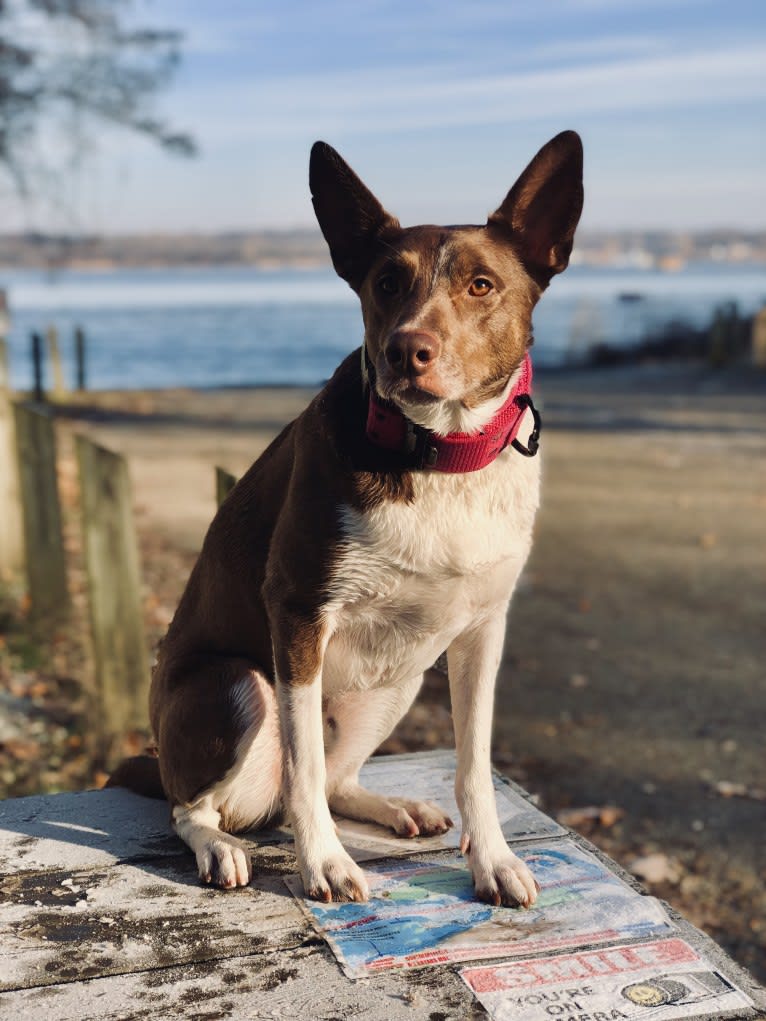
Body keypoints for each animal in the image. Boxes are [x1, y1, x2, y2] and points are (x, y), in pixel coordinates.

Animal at [110, 131, 584, 906]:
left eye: (481, 285)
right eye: (386, 283)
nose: (405, 350)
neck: (439, 453)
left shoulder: (483, 630)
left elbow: (474, 762)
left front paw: (492, 858)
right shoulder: (299, 613)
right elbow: (302, 769)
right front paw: (324, 863)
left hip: (394, 683)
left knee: (336, 777)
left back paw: (392, 806)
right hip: (238, 688)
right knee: (200, 804)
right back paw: (219, 845)